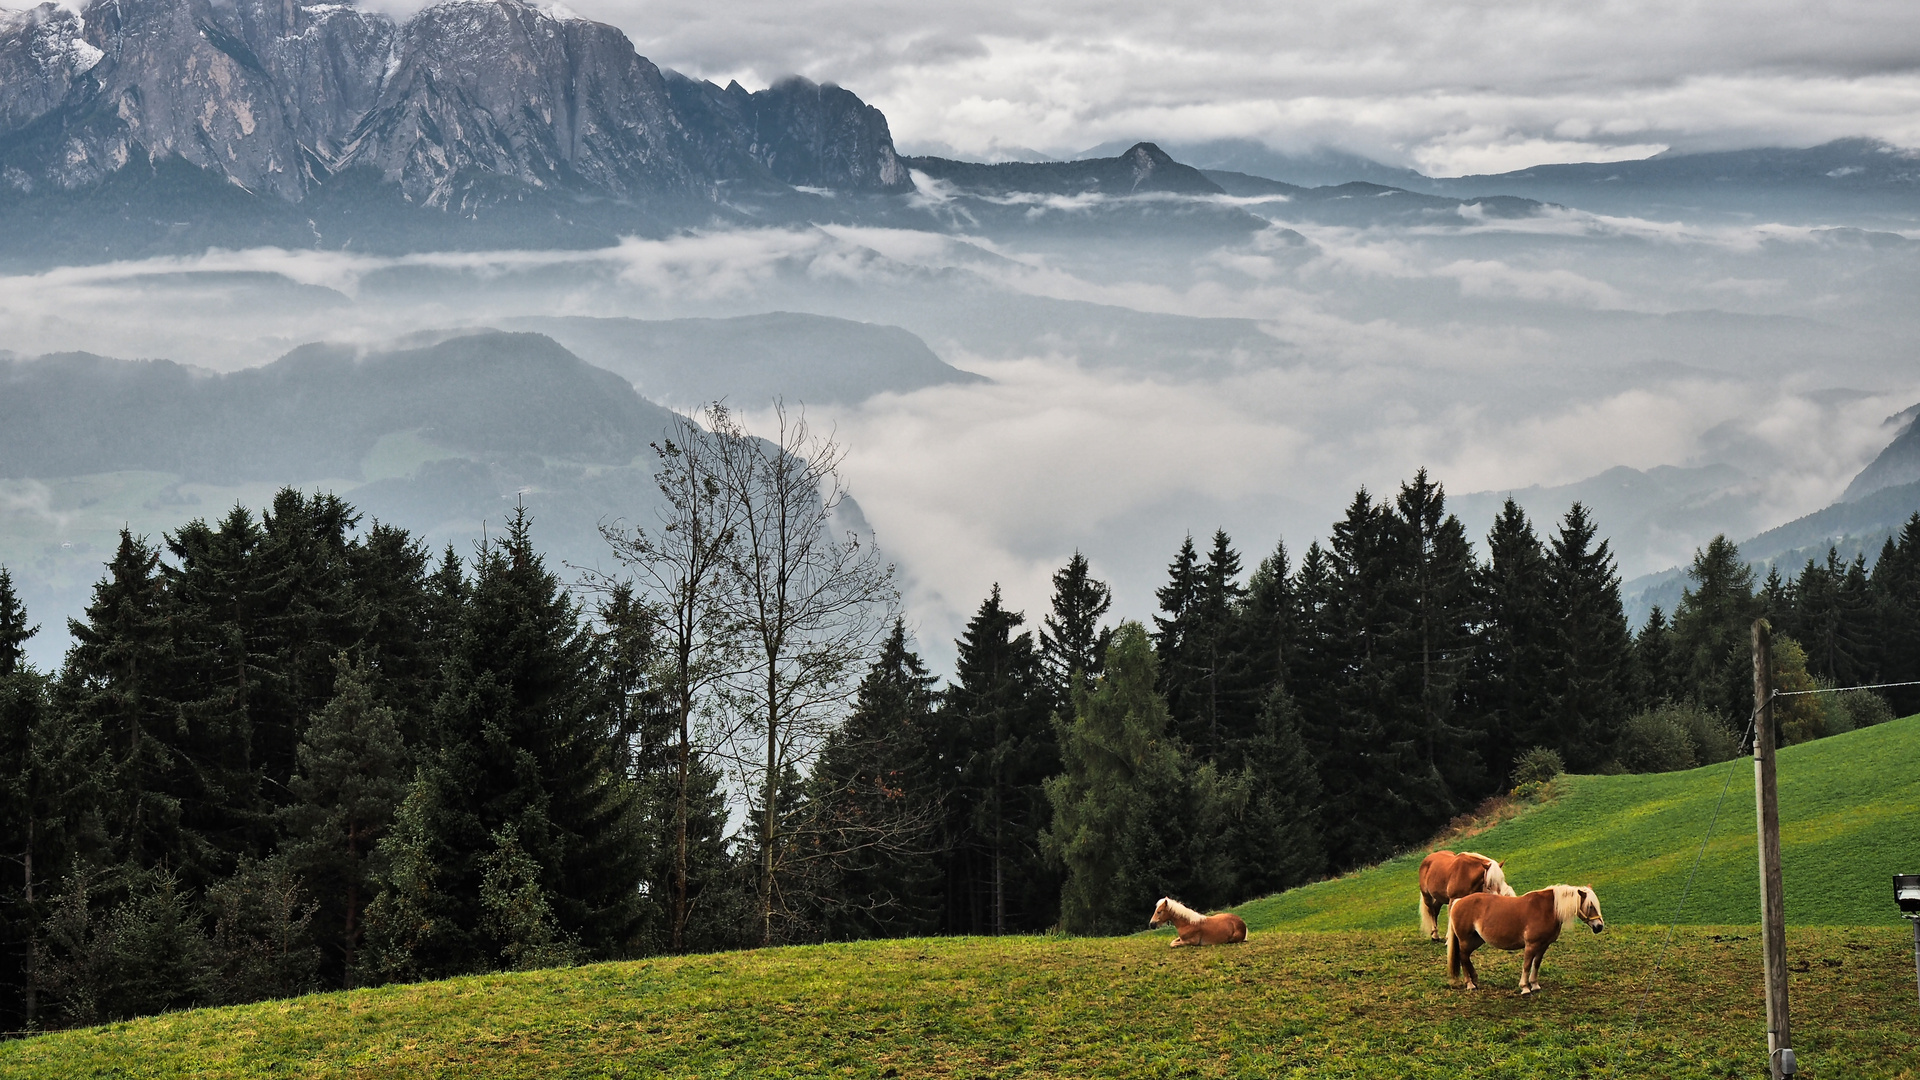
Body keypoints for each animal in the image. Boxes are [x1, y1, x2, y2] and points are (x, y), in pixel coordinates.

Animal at [1443, 883, 1605, 991]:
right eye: (1590, 906)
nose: (1599, 927)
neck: (1546, 909)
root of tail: (1458, 902)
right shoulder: (1531, 945)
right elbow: (1527, 964)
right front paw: (1525, 987)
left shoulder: (1543, 945)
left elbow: (1536, 964)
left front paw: (1535, 985)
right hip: (1465, 940)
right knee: (1463, 957)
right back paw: (1470, 984)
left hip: (1476, 940)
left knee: (1467, 957)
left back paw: (1475, 980)